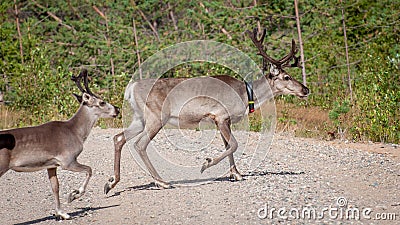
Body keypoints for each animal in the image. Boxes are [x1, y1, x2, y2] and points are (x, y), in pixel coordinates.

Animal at [0, 69, 119, 219]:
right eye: (102, 102)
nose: (117, 109)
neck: (75, 132)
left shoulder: (51, 164)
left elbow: (55, 187)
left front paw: (61, 212)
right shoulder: (67, 160)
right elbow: (89, 169)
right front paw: (73, 195)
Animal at [104, 28, 310, 193]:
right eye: (286, 76)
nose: (305, 89)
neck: (246, 96)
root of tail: (131, 88)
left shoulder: (221, 121)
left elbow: (228, 146)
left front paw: (236, 174)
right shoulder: (221, 116)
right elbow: (234, 145)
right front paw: (207, 164)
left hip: (140, 118)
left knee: (119, 138)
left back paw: (111, 183)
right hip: (156, 116)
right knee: (140, 144)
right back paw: (162, 182)